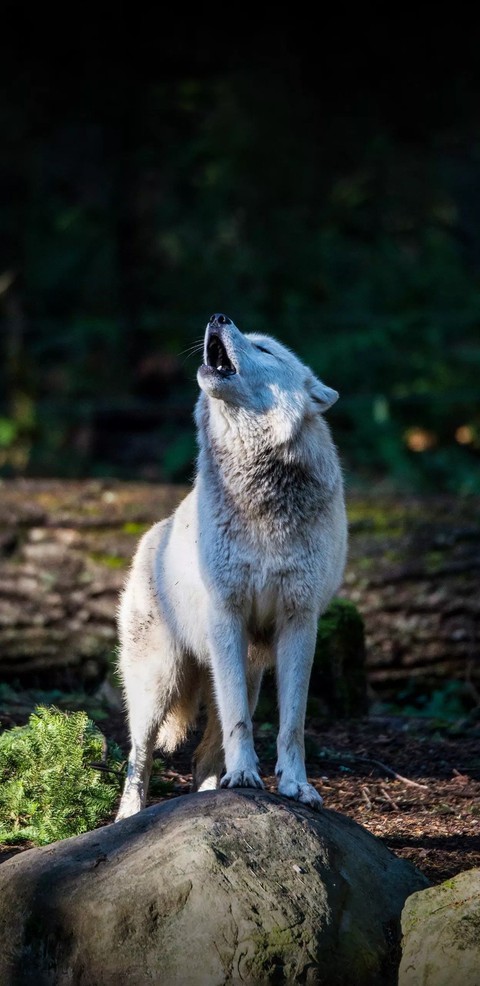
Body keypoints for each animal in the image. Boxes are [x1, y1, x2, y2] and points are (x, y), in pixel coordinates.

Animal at [115, 313, 347, 820]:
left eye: (265, 350)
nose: (218, 317)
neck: (260, 503)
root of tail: (152, 534)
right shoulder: (227, 615)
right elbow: (240, 721)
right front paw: (244, 776)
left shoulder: (299, 622)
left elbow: (292, 725)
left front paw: (296, 786)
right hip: (159, 681)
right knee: (139, 755)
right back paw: (129, 818)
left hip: (248, 671)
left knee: (203, 756)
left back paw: (208, 799)